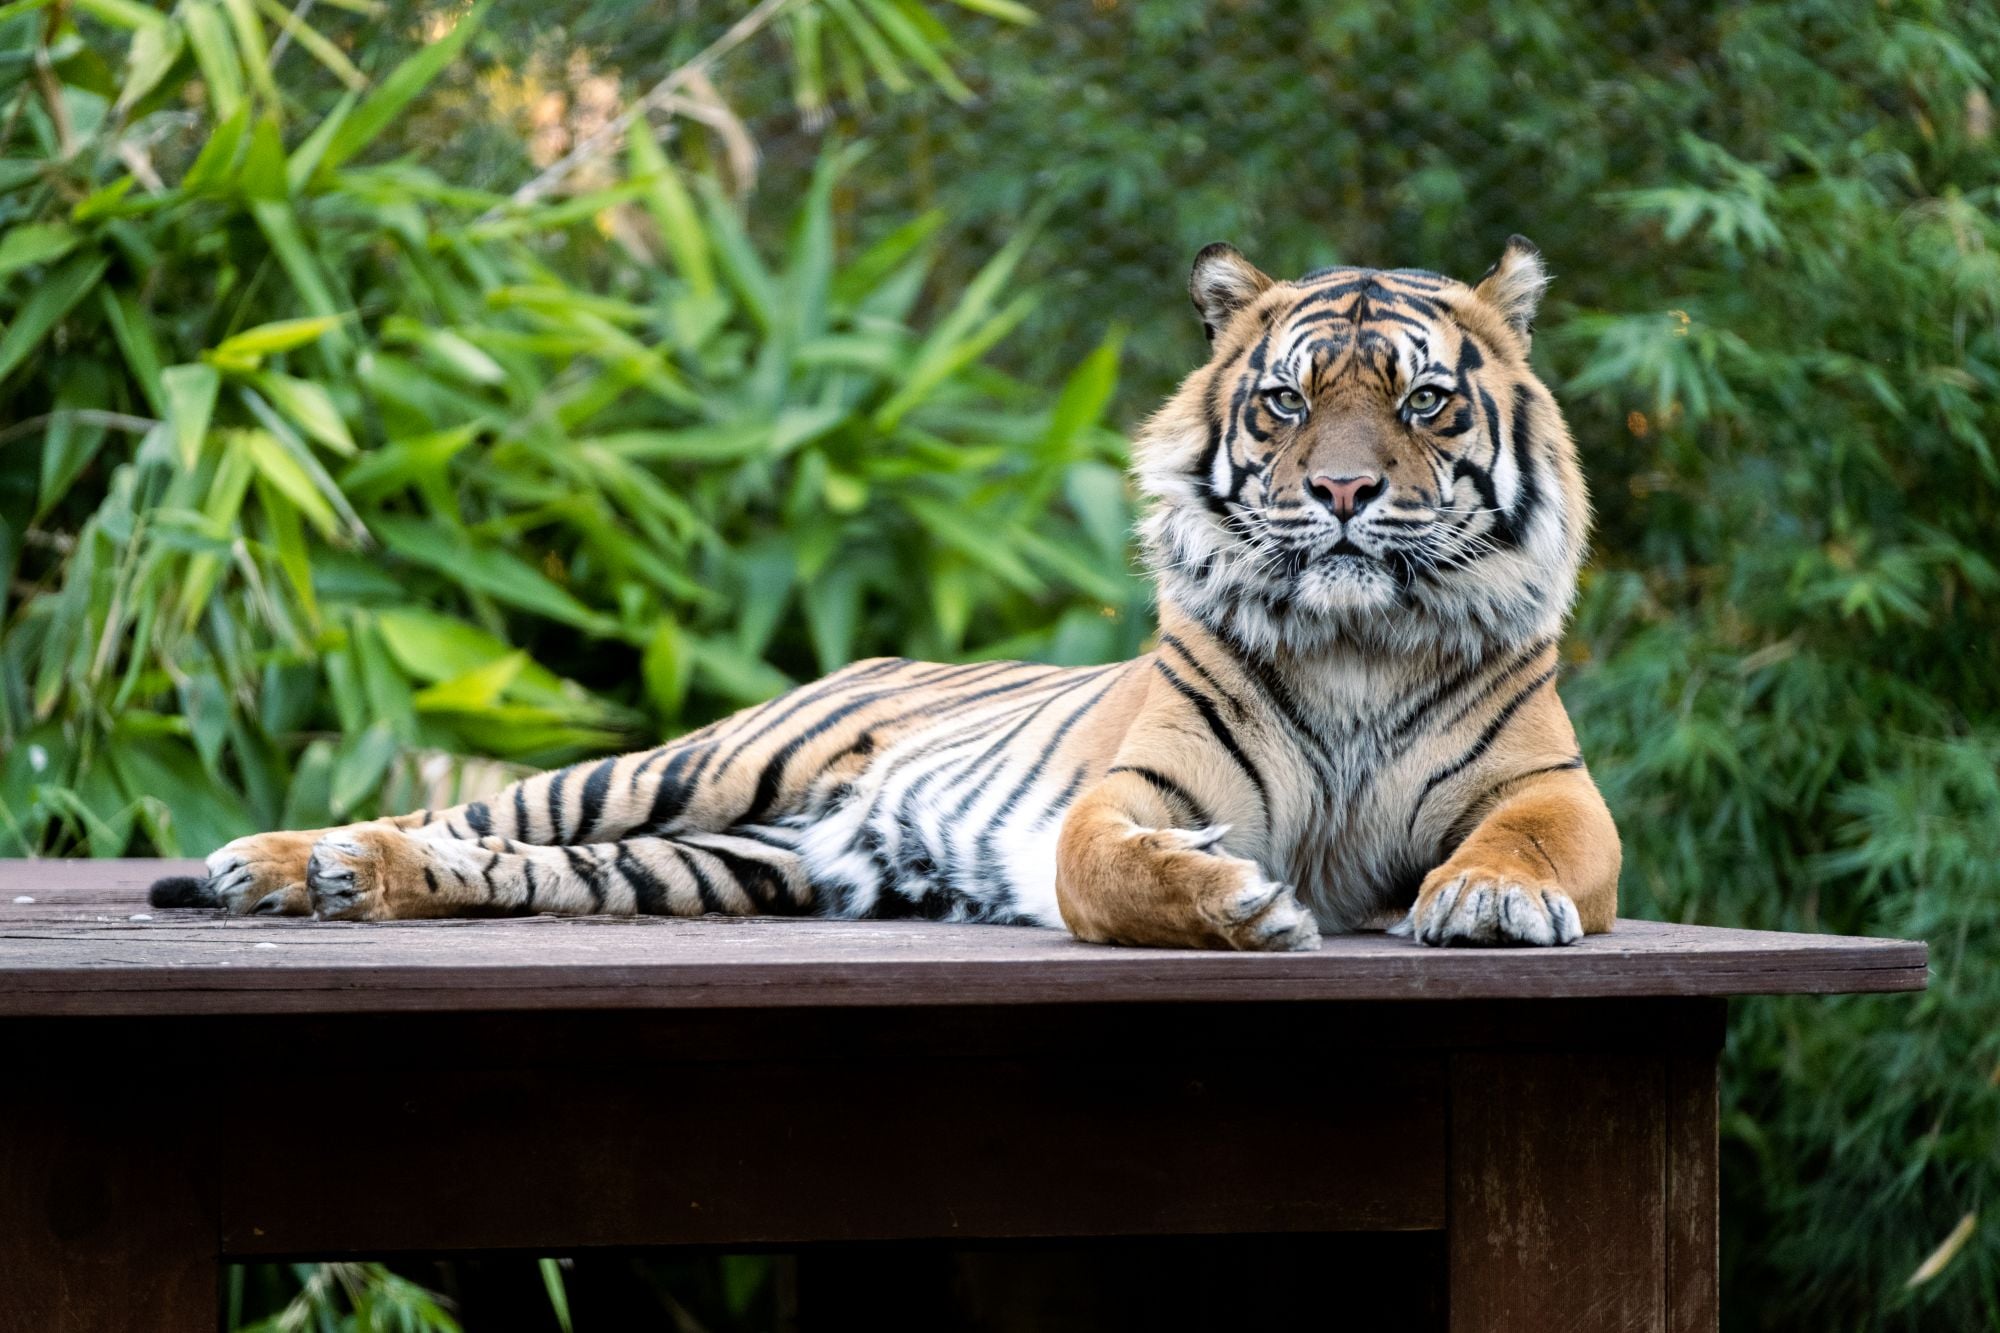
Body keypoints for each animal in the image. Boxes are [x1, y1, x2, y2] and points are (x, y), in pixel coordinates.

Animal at [150, 236, 1619, 951]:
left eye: (1423, 403)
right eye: (1284, 403)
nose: (1344, 494)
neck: (1356, 637)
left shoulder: (1550, 792)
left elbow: (1529, 845)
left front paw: (1488, 903)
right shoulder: (1137, 794)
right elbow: (1106, 865)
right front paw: (1235, 905)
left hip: (735, 861)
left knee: (515, 867)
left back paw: (349, 878)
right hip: (683, 766)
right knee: (474, 808)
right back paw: (277, 861)